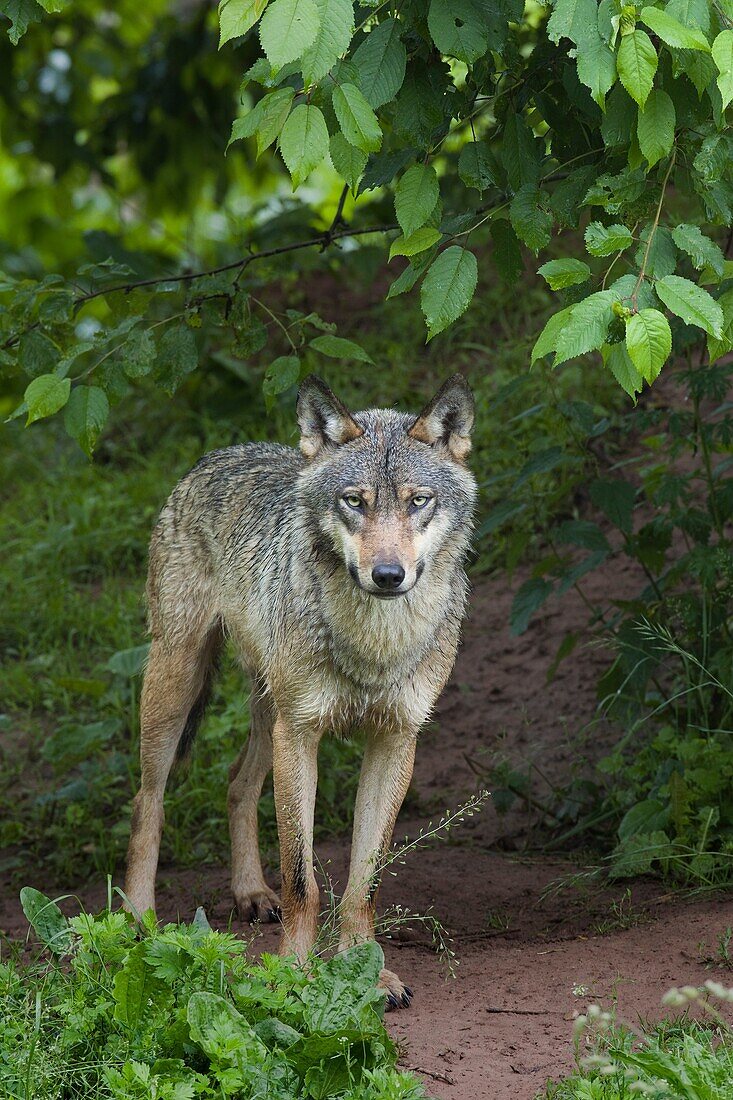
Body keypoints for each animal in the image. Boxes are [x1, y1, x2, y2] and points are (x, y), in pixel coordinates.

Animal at [122, 374, 477, 1007]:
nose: (388, 575)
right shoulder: (303, 734)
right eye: (355, 501)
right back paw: (140, 919)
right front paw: (293, 972)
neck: (374, 643)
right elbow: (302, 877)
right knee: (148, 800)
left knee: (235, 784)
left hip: (268, 716)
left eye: (418, 501)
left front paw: (368, 973)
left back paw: (248, 892)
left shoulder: (396, 742)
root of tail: (221, 452)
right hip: (180, 684)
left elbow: (364, 883)